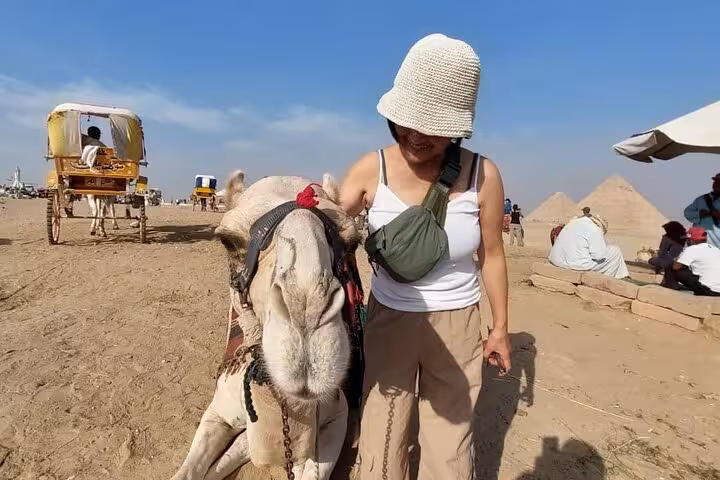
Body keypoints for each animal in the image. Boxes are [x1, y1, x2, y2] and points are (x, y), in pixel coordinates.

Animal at [170, 170, 362, 480]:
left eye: (351, 243)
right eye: (228, 241)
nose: (305, 310)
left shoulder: (337, 415)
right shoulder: (218, 413)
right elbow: (191, 470)